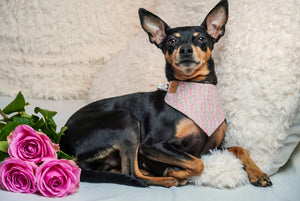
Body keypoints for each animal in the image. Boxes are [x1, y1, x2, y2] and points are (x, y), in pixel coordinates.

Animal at [60, 0, 272, 188]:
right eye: (171, 41)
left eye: (201, 39)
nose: (185, 50)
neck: (195, 88)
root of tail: (63, 142)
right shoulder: (151, 145)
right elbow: (198, 163)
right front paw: (173, 171)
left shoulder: (214, 148)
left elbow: (239, 148)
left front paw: (258, 173)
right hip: (125, 119)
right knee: (132, 173)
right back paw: (168, 178)